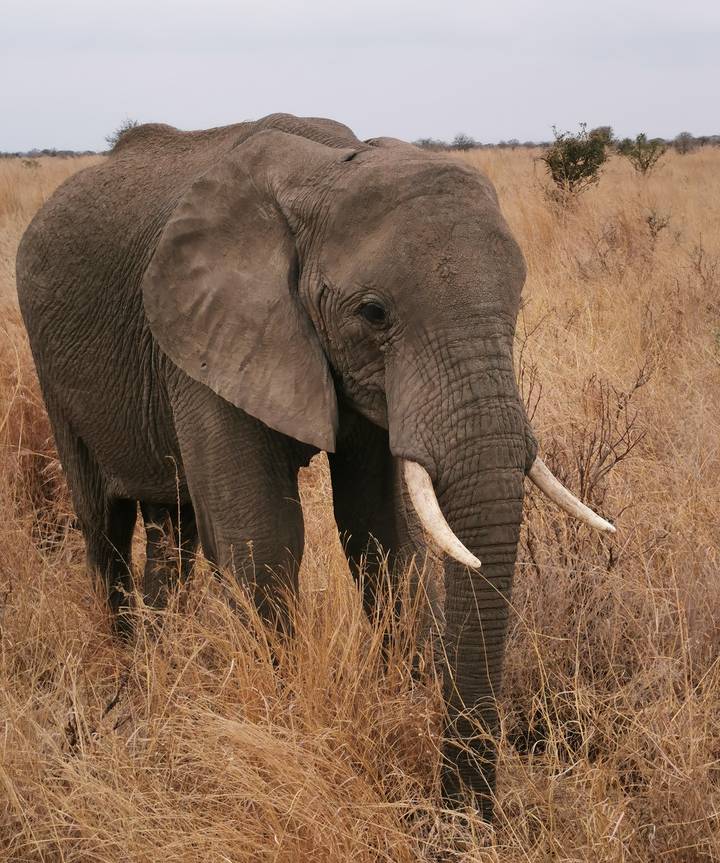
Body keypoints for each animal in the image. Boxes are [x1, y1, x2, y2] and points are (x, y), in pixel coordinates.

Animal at [16, 113, 614, 819]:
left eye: (515, 307)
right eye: (374, 313)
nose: (459, 815)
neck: (324, 173)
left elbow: (379, 533)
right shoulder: (208, 334)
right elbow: (259, 538)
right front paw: (278, 721)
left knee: (173, 523)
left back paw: (163, 653)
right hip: (51, 362)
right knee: (102, 521)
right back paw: (124, 660)